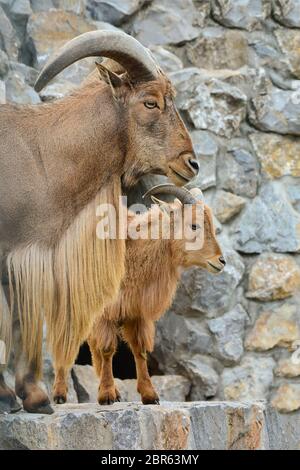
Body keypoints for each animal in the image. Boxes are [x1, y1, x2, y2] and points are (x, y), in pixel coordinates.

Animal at [52, 185, 225, 406]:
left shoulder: (136, 313)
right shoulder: (105, 313)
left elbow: (140, 349)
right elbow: (107, 348)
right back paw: (59, 394)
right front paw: (106, 395)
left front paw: (149, 395)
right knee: (64, 341)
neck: (131, 252)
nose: (221, 261)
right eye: (194, 225)